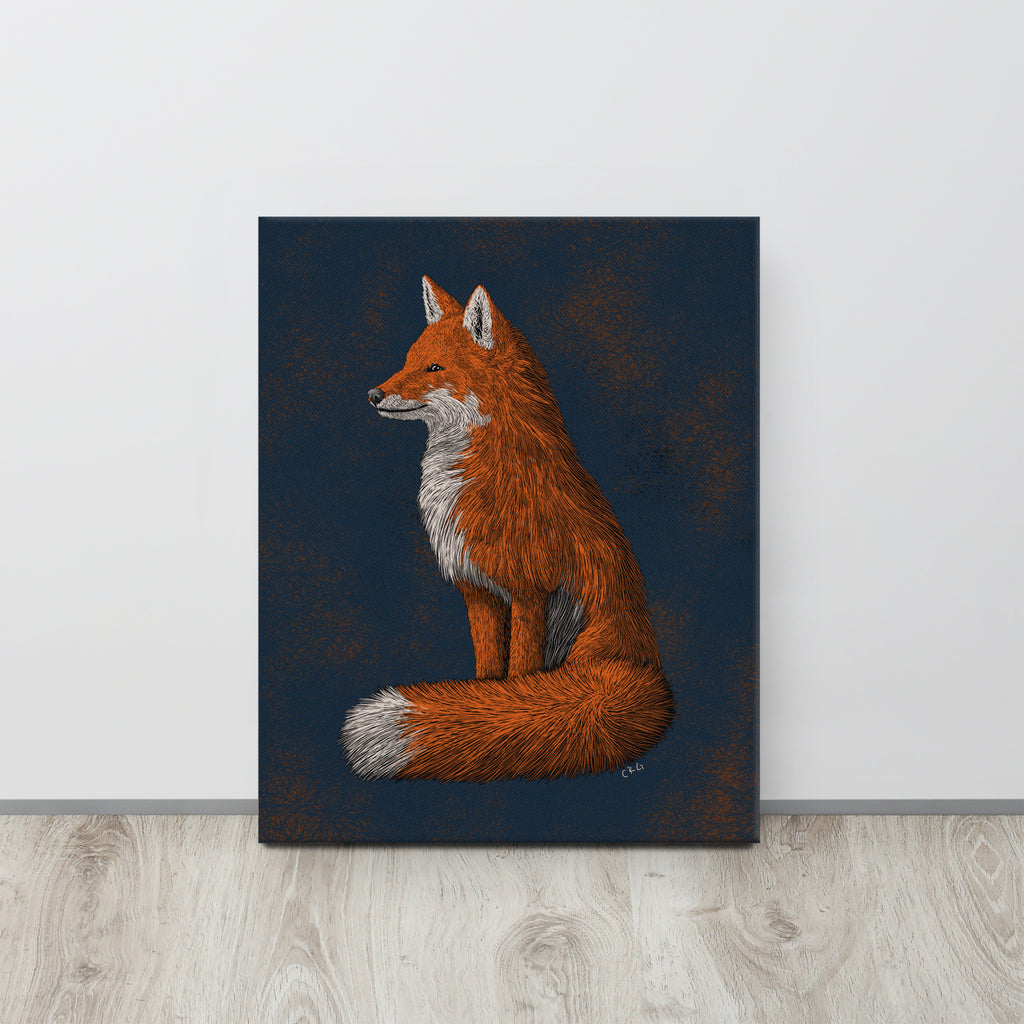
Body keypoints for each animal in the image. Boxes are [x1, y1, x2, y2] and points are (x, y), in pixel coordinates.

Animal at [340, 277, 674, 782]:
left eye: (434, 367)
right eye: (408, 360)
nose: (374, 395)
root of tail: (644, 664)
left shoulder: (530, 590)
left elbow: (519, 676)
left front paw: (503, 709)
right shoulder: (478, 590)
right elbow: (489, 673)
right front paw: (481, 705)